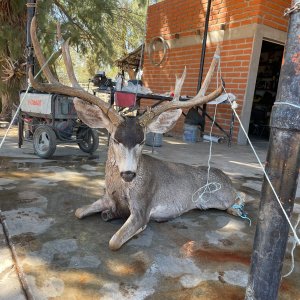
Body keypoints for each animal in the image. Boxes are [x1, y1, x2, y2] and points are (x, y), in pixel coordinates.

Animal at [28, 17, 244, 251]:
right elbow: (78, 211)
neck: (120, 188)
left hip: (220, 195)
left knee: (239, 195)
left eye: (142, 141)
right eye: (115, 139)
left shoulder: (142, 209)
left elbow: (114, 242)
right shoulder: (107, 198)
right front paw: (103, 213)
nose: (129, 173)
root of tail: (224, 175)